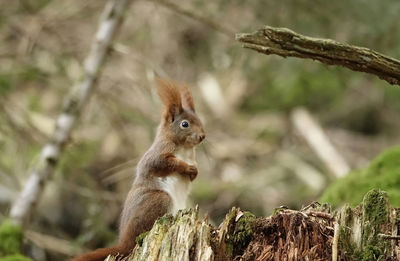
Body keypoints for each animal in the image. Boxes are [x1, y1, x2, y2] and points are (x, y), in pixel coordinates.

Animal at [70, 79, 205, 260]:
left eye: (199, 119)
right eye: (185, 124)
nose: (203, 136)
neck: (185, 148)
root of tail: (123, 242)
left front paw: (194, 172)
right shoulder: (159, 152)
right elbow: (161, 163)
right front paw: (186, 167)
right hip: (159, 201)